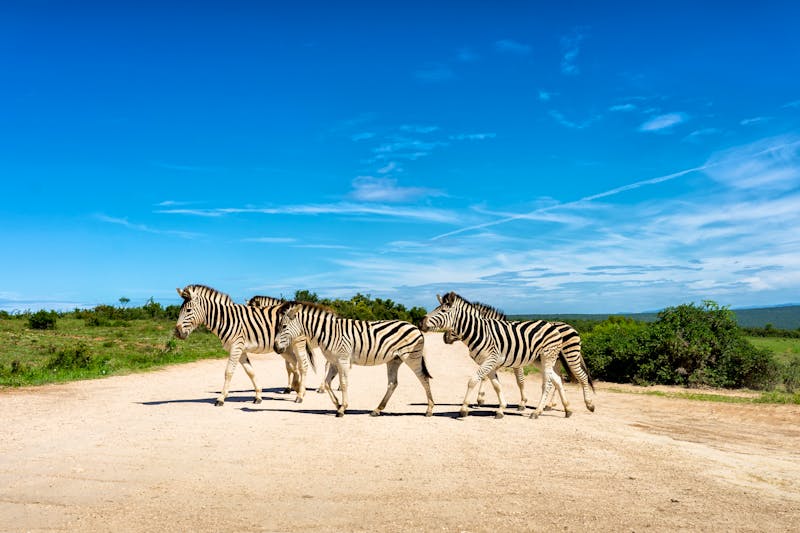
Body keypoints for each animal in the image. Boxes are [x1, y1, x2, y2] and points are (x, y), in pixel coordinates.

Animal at [174, 284, 314, 406]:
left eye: (188, 310)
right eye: (180, 310)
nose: (177, 333)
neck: (226, 320)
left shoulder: (236, 347)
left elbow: (228, 372)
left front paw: (221, 398)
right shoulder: (240, 349)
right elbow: (250, 372)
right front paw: (258, 396)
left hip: (297, 342)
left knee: (303, 365)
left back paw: (300, 394)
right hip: (284, 347)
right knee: (294, 363)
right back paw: (297, 386)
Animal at [274, 302, 434, 417]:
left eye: (284, 326)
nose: (275, 348)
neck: (328, 332)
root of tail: (414, 326)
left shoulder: (343, 360)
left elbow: (344, 384)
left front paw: (342, 409)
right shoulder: (334, 361)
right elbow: (327, 383)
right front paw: (338, 405)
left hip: (412, 357)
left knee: (424, 379)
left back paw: (429, 409)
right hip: (394, 360)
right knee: (392, 383)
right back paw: (377, 409)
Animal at [421, 291, 595, 419]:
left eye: (443, 311)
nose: (421, 323)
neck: (480, 331)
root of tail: (555, 326)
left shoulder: (496, 360)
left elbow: (475, 380)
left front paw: (464, 408)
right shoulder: (489, 362)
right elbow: (496, 385)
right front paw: (500, 408)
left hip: (563, 355)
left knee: (569, 379)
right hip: (543, 359)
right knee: (557, 380)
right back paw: (565, 408)